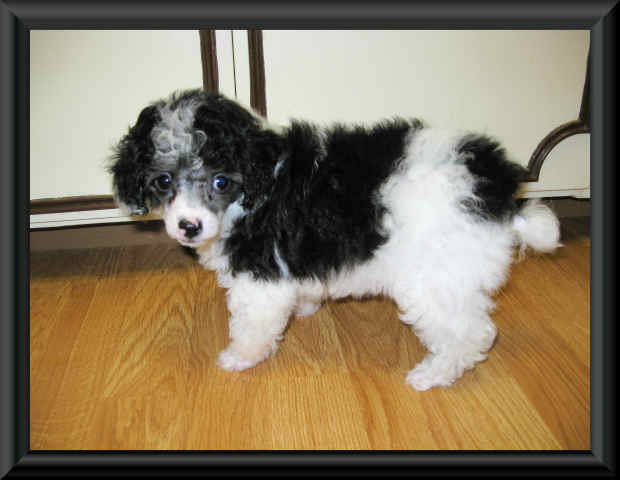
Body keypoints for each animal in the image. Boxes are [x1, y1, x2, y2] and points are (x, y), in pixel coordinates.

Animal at [109, 89, 560, 390]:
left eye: (220, 181)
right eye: (163, 181)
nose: (188, 226)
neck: (257, 185)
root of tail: (497, 189)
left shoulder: (260, 276)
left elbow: (253, 322)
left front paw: (241, 357)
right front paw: (307, 305)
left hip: (436, 277)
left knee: (469, 332)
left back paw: (434, 374)